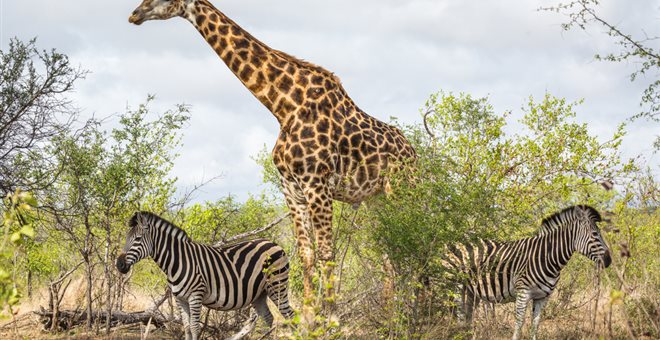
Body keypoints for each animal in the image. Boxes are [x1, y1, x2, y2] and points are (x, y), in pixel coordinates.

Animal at [115, 211, 294, 338]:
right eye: (127, 238)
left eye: (138, 239)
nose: (119, 265)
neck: (178, 261)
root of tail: (274, 244)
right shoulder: (180, 299)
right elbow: (187, 328)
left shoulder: (196, 295)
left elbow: (195, 328)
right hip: (259, 294)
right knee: (269, 319)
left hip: (277, 286)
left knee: (290, 316)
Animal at [128, 0, 416, 314]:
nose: (134, 15)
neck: (284, 107)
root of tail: (414, 153)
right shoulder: (292, 188)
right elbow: (306, 255)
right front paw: (309, 316)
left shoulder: (317, 186)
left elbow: (326, 253)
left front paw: (329, 317)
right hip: (375, 200)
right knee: (389, 247)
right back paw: (392, 312)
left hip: (401, 190)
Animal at [444, 205, 612, 340]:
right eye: (595, 234)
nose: (609, 260)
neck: (547, 258)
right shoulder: (523, 292)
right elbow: (519, 323)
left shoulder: (543, 297)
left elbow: (535, 324)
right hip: (456, 283)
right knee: (459, 312)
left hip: (471, 289)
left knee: (467, 315)